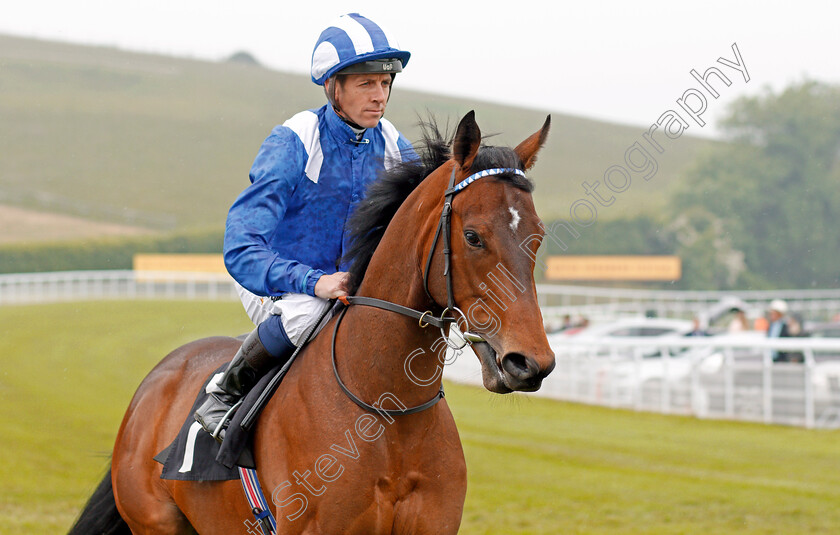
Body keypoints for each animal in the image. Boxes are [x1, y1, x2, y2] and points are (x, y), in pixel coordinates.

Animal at [74, 111, 556, 532]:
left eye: (537, 237)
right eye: (473, 236)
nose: (530, 363)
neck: (387, 413)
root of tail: (155, 380)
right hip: (155, 523)